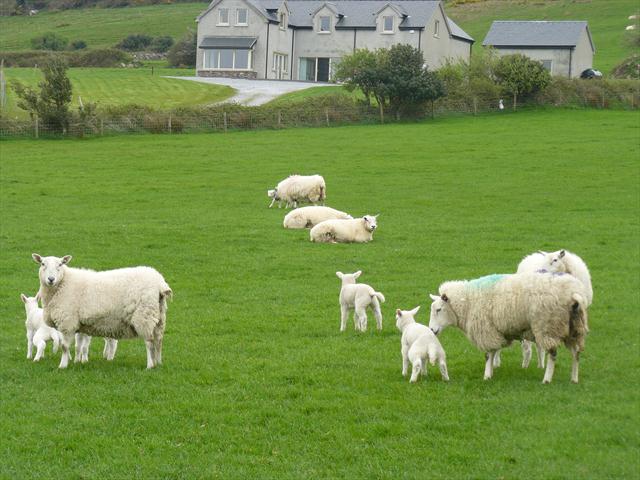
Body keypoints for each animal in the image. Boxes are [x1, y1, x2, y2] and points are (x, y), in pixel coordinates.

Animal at [31, 253, 172, 370]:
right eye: (42, 264)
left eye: (60, 264)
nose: (51, 279)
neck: (63, 283)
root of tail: (160, 283)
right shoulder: (78, 324)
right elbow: (79, 345)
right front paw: (76, 362)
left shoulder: (67, 322)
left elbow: (65, 347)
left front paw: (62, 366)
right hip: (159, 316)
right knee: (159, 341)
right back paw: (158, 363)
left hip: (144, 316)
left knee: (149, 342)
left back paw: (150, 365)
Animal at [428, 272, 588, 384]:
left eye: (438, 309)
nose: (431, 330)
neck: (468, 302)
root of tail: (573, 294)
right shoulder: (494, 331)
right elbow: (494, 352)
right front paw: (491, 372)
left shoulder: (486, 330)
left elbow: (488, 355)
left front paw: (487, 375)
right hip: (574, 329)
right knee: (576, 353)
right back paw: (574, 378)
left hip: (548, 326)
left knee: (553, 353)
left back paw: (547, 379)